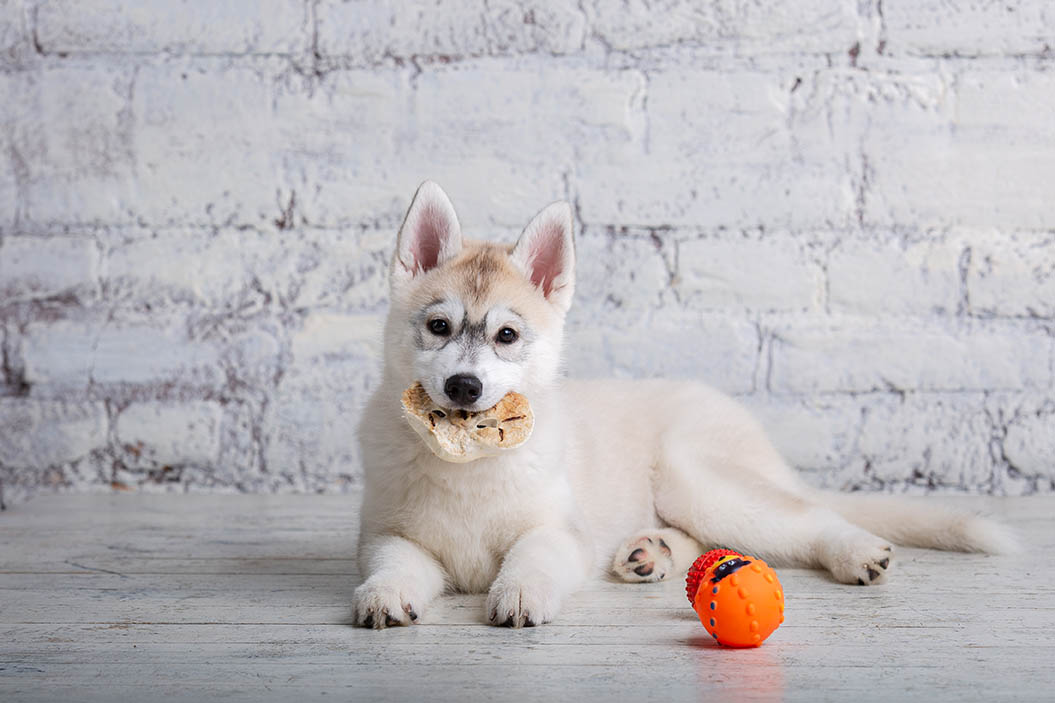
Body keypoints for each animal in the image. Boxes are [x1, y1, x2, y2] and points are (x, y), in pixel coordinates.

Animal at [352, 180, 1012, 624]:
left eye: (507, 336)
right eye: (439, 327)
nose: (464, 387)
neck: (467, 460)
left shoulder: (560, 532)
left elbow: (531, 556)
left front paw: (519, 592)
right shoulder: (388, 535)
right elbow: (393, 563)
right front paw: (384, 595)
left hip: (695, 477)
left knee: (807, 519)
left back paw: (856, 552)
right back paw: (653, 553)